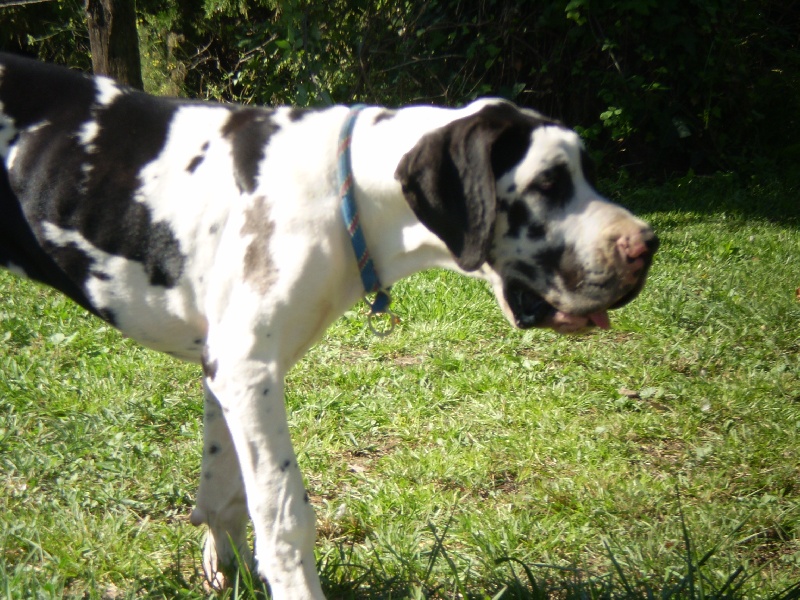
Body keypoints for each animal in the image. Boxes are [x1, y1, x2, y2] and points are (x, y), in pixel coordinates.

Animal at [0, 52, 657, 598]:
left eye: (586, 174)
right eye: (548, 183)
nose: (646, 244)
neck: (343, 193)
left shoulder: (226, 370)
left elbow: (224, 490)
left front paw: (223, 565)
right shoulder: (250, 374)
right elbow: (284, 516)